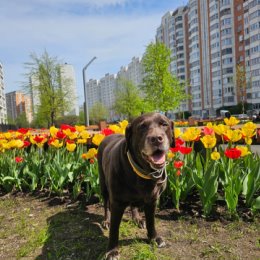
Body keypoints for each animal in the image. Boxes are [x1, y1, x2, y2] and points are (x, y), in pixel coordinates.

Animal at [97, 112, 175, 260]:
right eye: (142, 127)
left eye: (164, 124)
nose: (156, 139)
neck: (143, 172)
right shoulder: (117, 202)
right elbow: (114, 229)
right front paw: (112, 250)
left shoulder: (152, 200)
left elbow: (151, 221)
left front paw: (154, 238)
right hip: (103, 184)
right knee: (106, 204)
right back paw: (106, 221)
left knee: (134, 206)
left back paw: (137, 218)